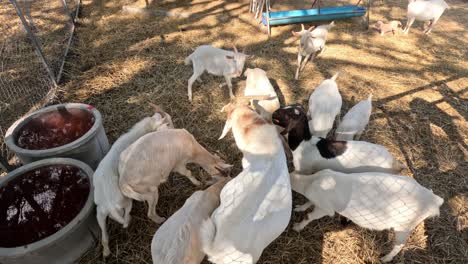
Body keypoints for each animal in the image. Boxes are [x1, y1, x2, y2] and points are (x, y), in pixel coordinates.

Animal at [92, 104, 173, 256]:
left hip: (99, 213)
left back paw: (106, 252)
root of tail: (109, 205)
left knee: (104, 235)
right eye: (168, 123)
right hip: (128, 201)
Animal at [290, 169, 444, 262]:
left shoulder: (325, 208)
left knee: (400, 244)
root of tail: (434, 200)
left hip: (404, 226)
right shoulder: (317, 201)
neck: (312, 182)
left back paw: (385, 258)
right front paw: (299, 208)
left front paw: (297, 227)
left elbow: (309, 216)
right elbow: (308, 202)